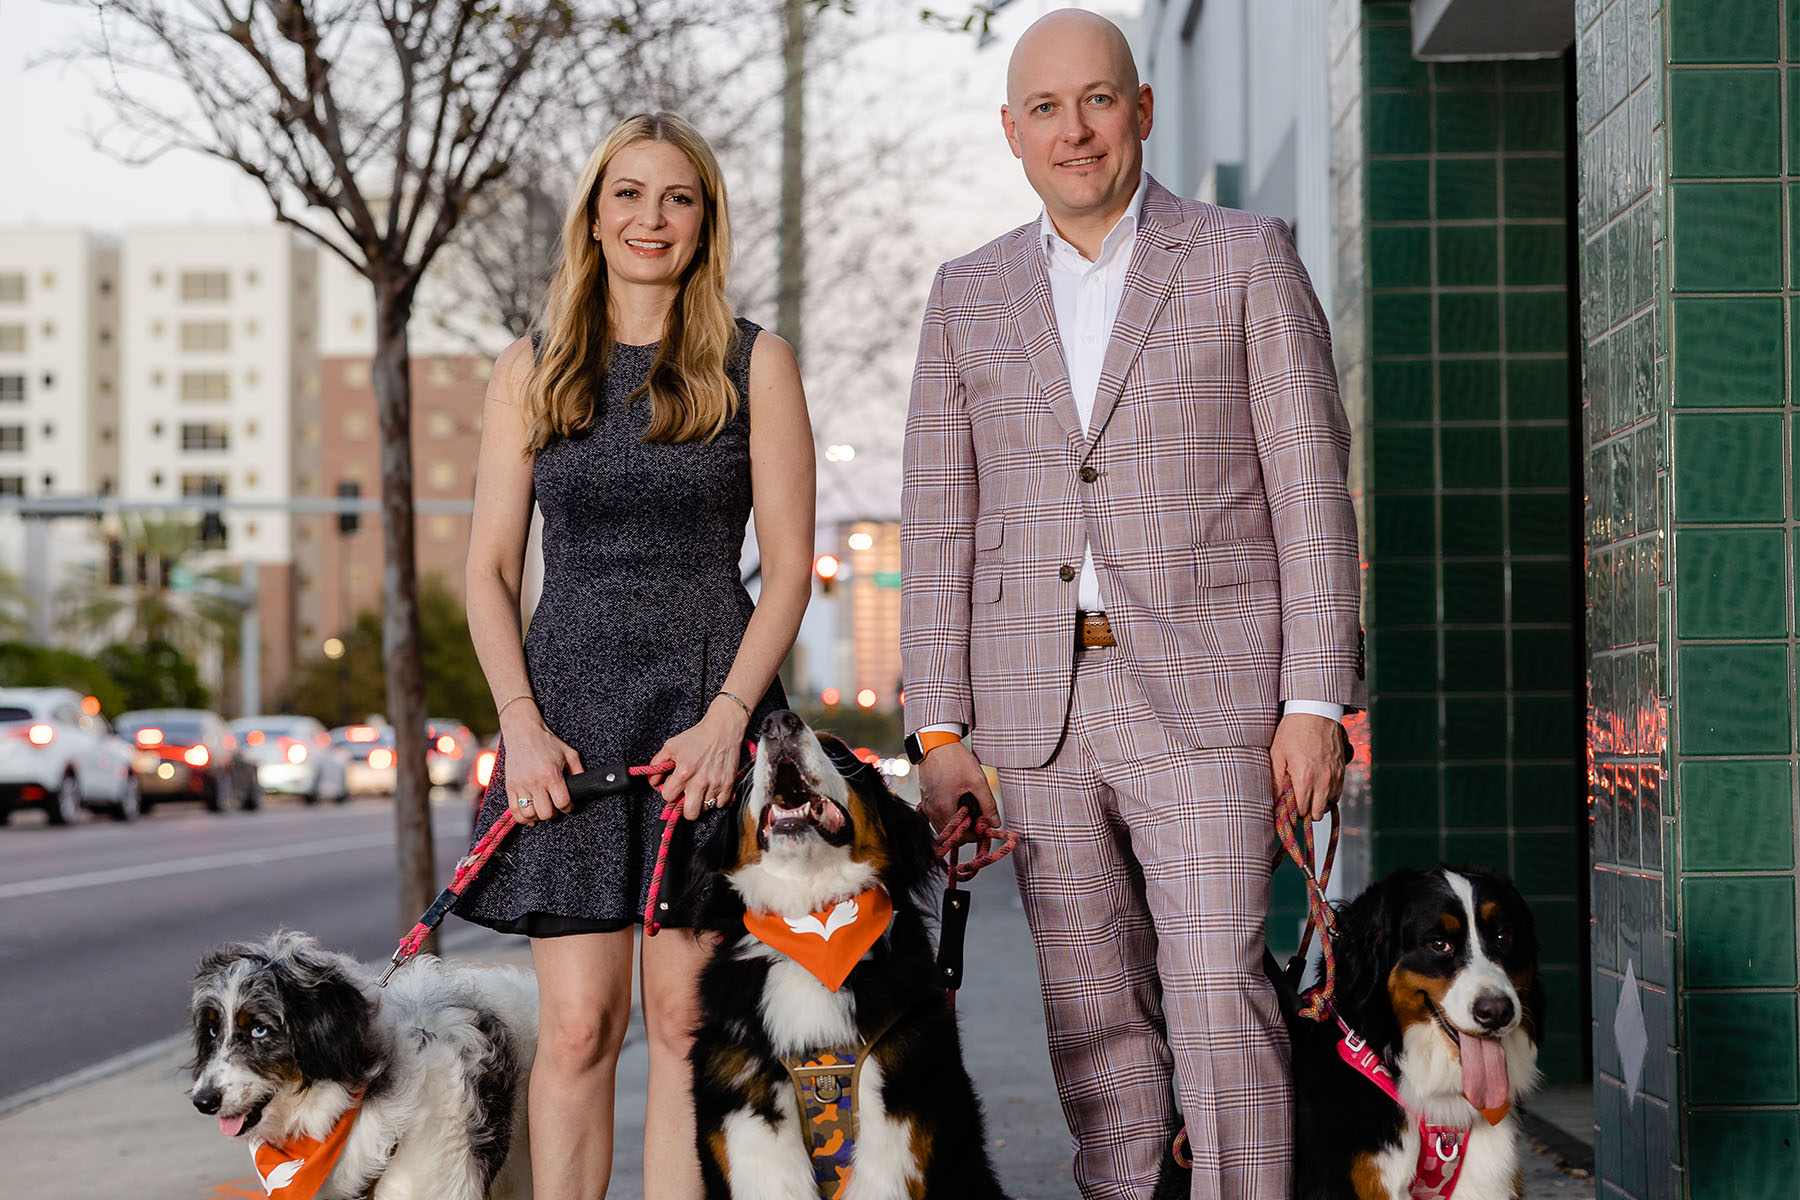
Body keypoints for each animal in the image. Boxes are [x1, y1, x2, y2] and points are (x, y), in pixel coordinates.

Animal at [684, 712, 1008, 1200]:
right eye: (744, 772)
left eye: (836, 750)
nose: (778, 722)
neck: (813, 917)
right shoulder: (751, 1145)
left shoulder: (898, 1148)